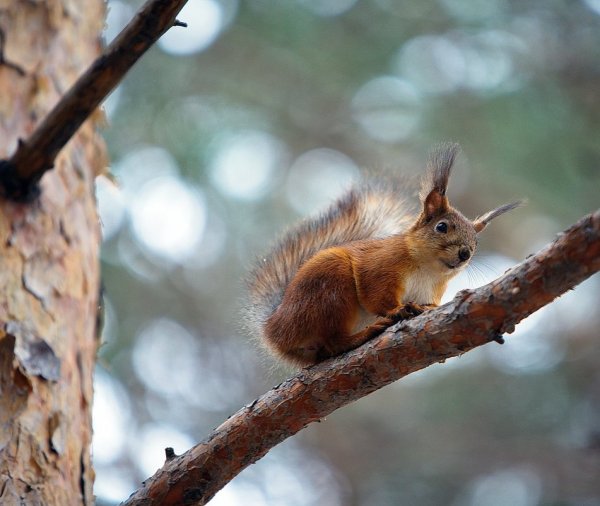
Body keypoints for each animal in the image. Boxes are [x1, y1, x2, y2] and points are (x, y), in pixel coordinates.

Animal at [244, 144, 520, 366]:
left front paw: (423, 308)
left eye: (476, 242)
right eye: (441, 226)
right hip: (330, 287)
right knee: (336, 342)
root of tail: (275, 329)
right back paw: (366, 333)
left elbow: (430, 305)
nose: (465, 253)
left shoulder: (432, 291)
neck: (428, 270)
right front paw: (396, 310)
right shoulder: (379, 267)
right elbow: (377, 296)